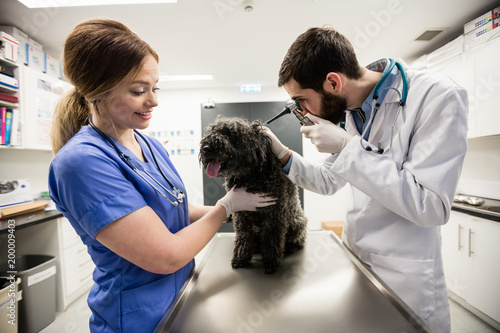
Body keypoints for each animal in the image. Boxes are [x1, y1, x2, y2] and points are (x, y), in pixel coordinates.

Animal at [200, 115, 308, 274]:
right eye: (211, 132)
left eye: (230, 134)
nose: (206, 148)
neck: (249, 176)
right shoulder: (241, 215)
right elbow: (243, 237)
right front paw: (240, 258)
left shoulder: (274, 214)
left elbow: (272, 239)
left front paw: (270, 263)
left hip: (297, 222)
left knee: (298, 240)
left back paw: (290, 247)